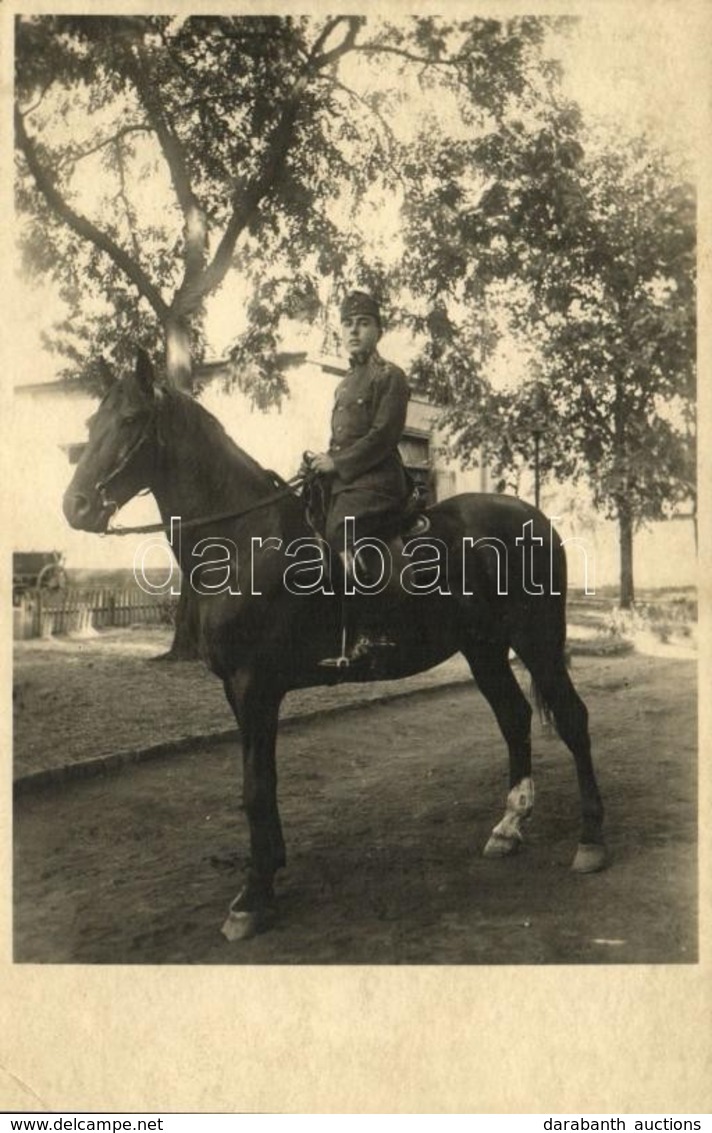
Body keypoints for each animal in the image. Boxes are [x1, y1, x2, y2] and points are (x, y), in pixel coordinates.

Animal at [64, 351, 603, 938]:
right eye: (89, 424)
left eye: (131, 420)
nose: (76, 507)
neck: (243, 540)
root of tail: (534, 517)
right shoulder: (239, 691)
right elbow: (261, 781)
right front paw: (269, 870)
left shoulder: (255, 687)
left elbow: (256, 788)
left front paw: (252, 898)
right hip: (483, 650)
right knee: (514, 717)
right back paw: (508, 828)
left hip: (537, 642)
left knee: (572, 718)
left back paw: (591, 842)